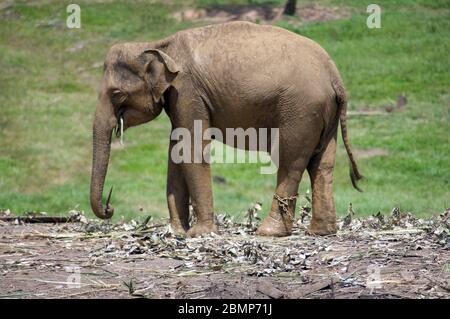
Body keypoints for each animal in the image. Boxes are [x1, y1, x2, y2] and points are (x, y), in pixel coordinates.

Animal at [90, 20, 362, 238]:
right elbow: (176, 149)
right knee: (322, 164)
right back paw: (322, 231)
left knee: (290, 162)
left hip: (301, 110)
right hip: (324, 112)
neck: (159, 46)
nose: (109, 207)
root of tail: (335, 77)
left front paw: (198, 234)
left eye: (117, 94)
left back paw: (268, 232)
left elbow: (191, 148)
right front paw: (177, 232)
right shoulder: (179, 98)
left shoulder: (187, 91)